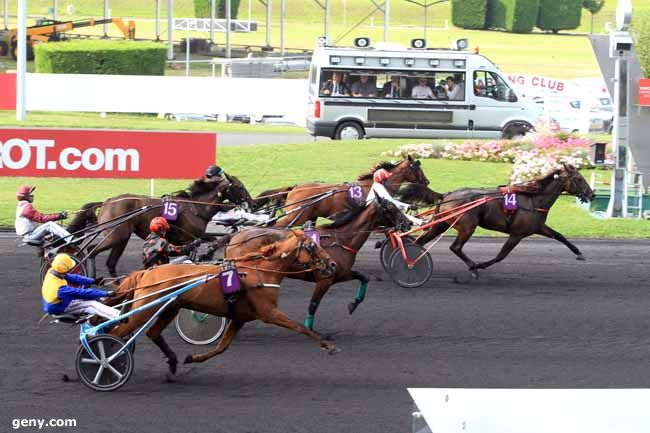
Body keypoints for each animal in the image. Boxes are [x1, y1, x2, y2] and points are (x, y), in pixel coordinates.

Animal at [67, 173, 253, 276]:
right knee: (91, 251)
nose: (251, 202)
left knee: (111, 262)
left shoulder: (197, 235)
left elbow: (213, 240)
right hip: (116, 235)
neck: (195, 207)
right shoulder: (187, 238)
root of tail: (107, 202)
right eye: (240, 187)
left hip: (122, 238)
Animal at [109, 230, 336, 374]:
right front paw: (328, 345)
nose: (332, 264)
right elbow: (299, 327)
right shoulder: (269, 313)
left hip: (169, 308)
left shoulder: (239, 318)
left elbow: (221, 347)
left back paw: (172, 362)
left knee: (152, 333)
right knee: (117, 333)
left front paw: (192, 358)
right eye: (312, 245)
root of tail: (147, 272)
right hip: (145, 309)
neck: (261, 272)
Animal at [225, 197, 410, 330]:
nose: (408, 223)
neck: (341, 240)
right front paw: (309, 329)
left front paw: (353, 304)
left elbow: (363, 277)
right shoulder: (324, 279)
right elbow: (313, 305)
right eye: (392, 208)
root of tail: (235, 237)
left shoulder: (339, 272)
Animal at [416, 164, 592, 278]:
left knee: (420, 242)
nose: (592, 194)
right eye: (579, 179)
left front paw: (579, 253)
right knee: (455, 247)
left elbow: (559, 236)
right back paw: (473, 266)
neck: (534, 200)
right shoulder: (517, 234)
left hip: (441, 224)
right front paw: (480, 265)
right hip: (467, 226)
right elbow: (501, 255)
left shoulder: (538, 227)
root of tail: (447, 195)